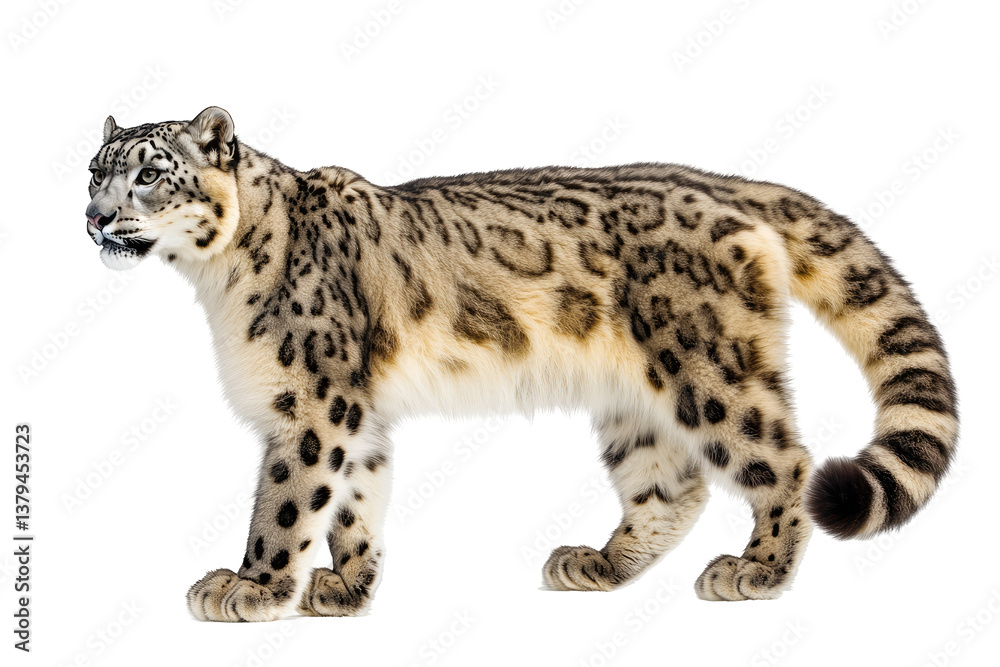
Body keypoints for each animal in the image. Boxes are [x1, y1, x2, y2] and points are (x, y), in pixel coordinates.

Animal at [83, 107, 958, 621]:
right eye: (94, 169)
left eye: (149, 172)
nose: (93, 216)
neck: (218, 283)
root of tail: (721, 184)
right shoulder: (354, 410)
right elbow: (356, 497)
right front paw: (347, 587)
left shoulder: (312, 401)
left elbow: (289, 502)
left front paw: (251, 586)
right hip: (631, 400)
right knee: (670, 483)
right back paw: (598, 563)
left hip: (713, 369)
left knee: (784, 460)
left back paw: (757, 570)